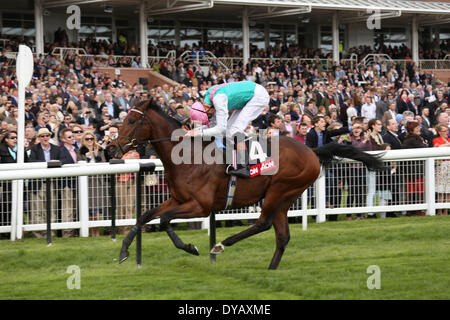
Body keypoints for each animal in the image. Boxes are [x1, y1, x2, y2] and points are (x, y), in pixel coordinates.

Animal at [106, 99, 384, 268]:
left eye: (132, 121)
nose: (111, 147)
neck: (188, 156)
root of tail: (311, 151)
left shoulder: (201, 206)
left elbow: (163, 220)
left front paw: (190, 247)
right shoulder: (177, 199)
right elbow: (145, 216)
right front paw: (123, 252)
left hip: (280, 189)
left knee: (264, 223)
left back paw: (221, 245)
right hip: (286, 197)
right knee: (282, 235)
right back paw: (270, 269)